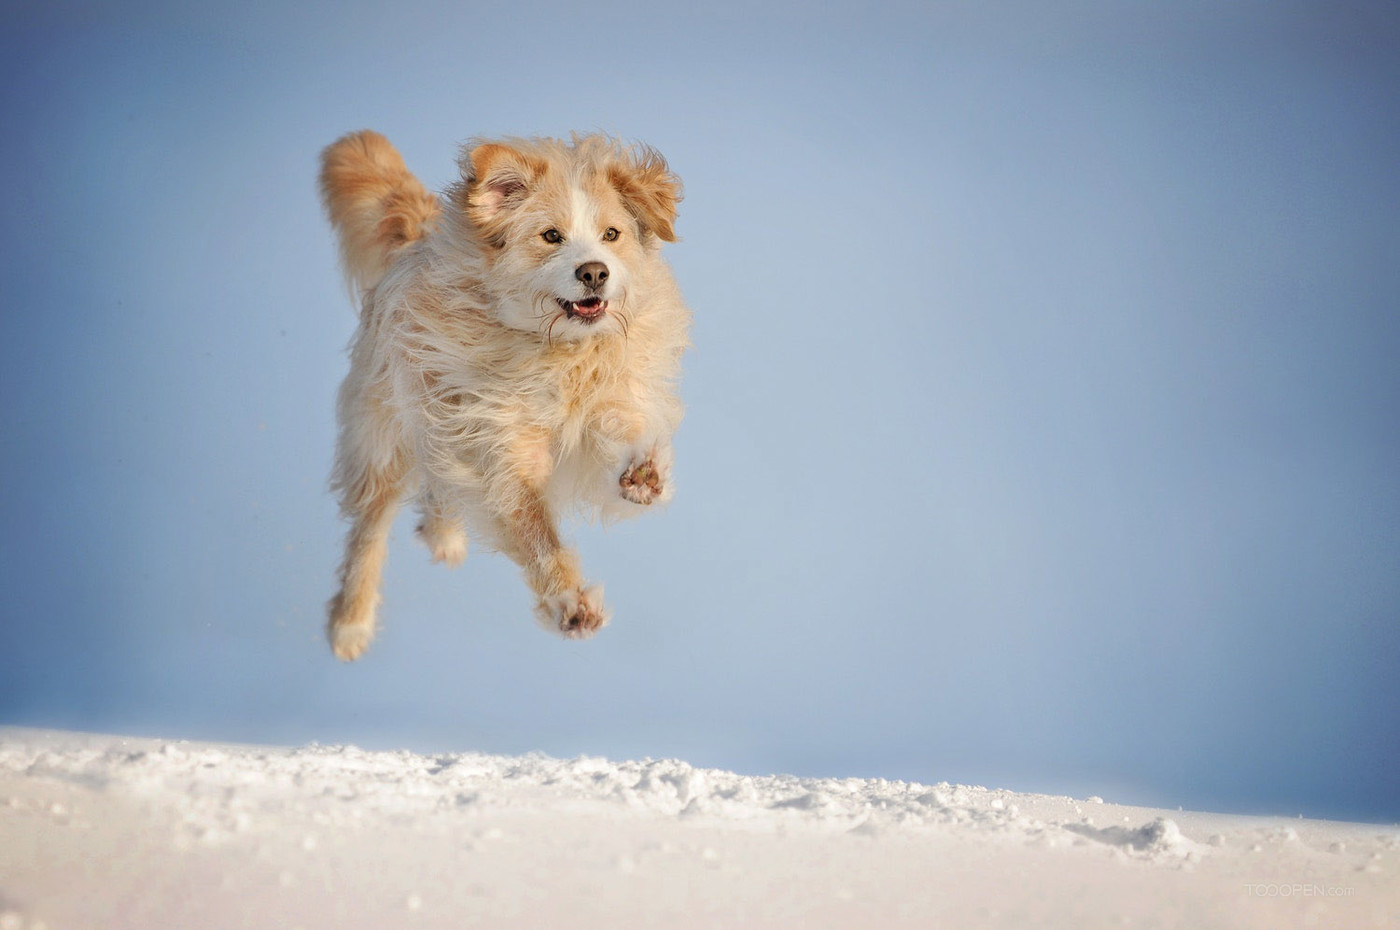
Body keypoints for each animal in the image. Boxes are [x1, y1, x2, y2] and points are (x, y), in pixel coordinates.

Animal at [317, 132, 688, 661]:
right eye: (551, 236)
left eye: (612, 234)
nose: (595, 273)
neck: (559, 353)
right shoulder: (499, 445)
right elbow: (533, 528)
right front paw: (568, 601)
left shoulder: (608, 399)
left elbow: (621, 430)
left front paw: (643, 473)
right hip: (387, 436)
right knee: (371, 528)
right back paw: (352, 622)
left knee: (440, 481)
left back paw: (444, 532)